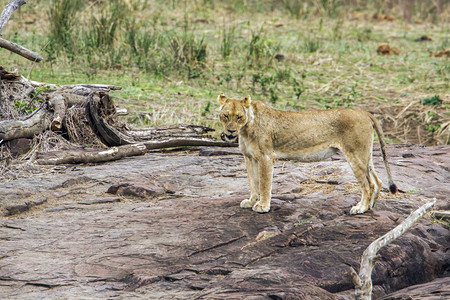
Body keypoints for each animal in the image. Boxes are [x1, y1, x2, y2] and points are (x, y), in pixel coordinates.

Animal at [218, 93, 398, 213]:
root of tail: (364, 112)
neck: (246, 129)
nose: (231, 131)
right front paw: (251, 201)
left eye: (239, 117)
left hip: (356, 155)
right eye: (226, 116)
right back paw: (370, 207)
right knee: (378, 180)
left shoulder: (266, 157)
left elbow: (264, 183)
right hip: (365, 155)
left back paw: (360, 208)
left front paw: (262, 206)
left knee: (369, 185)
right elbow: (253, 182)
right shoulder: (249, 158)